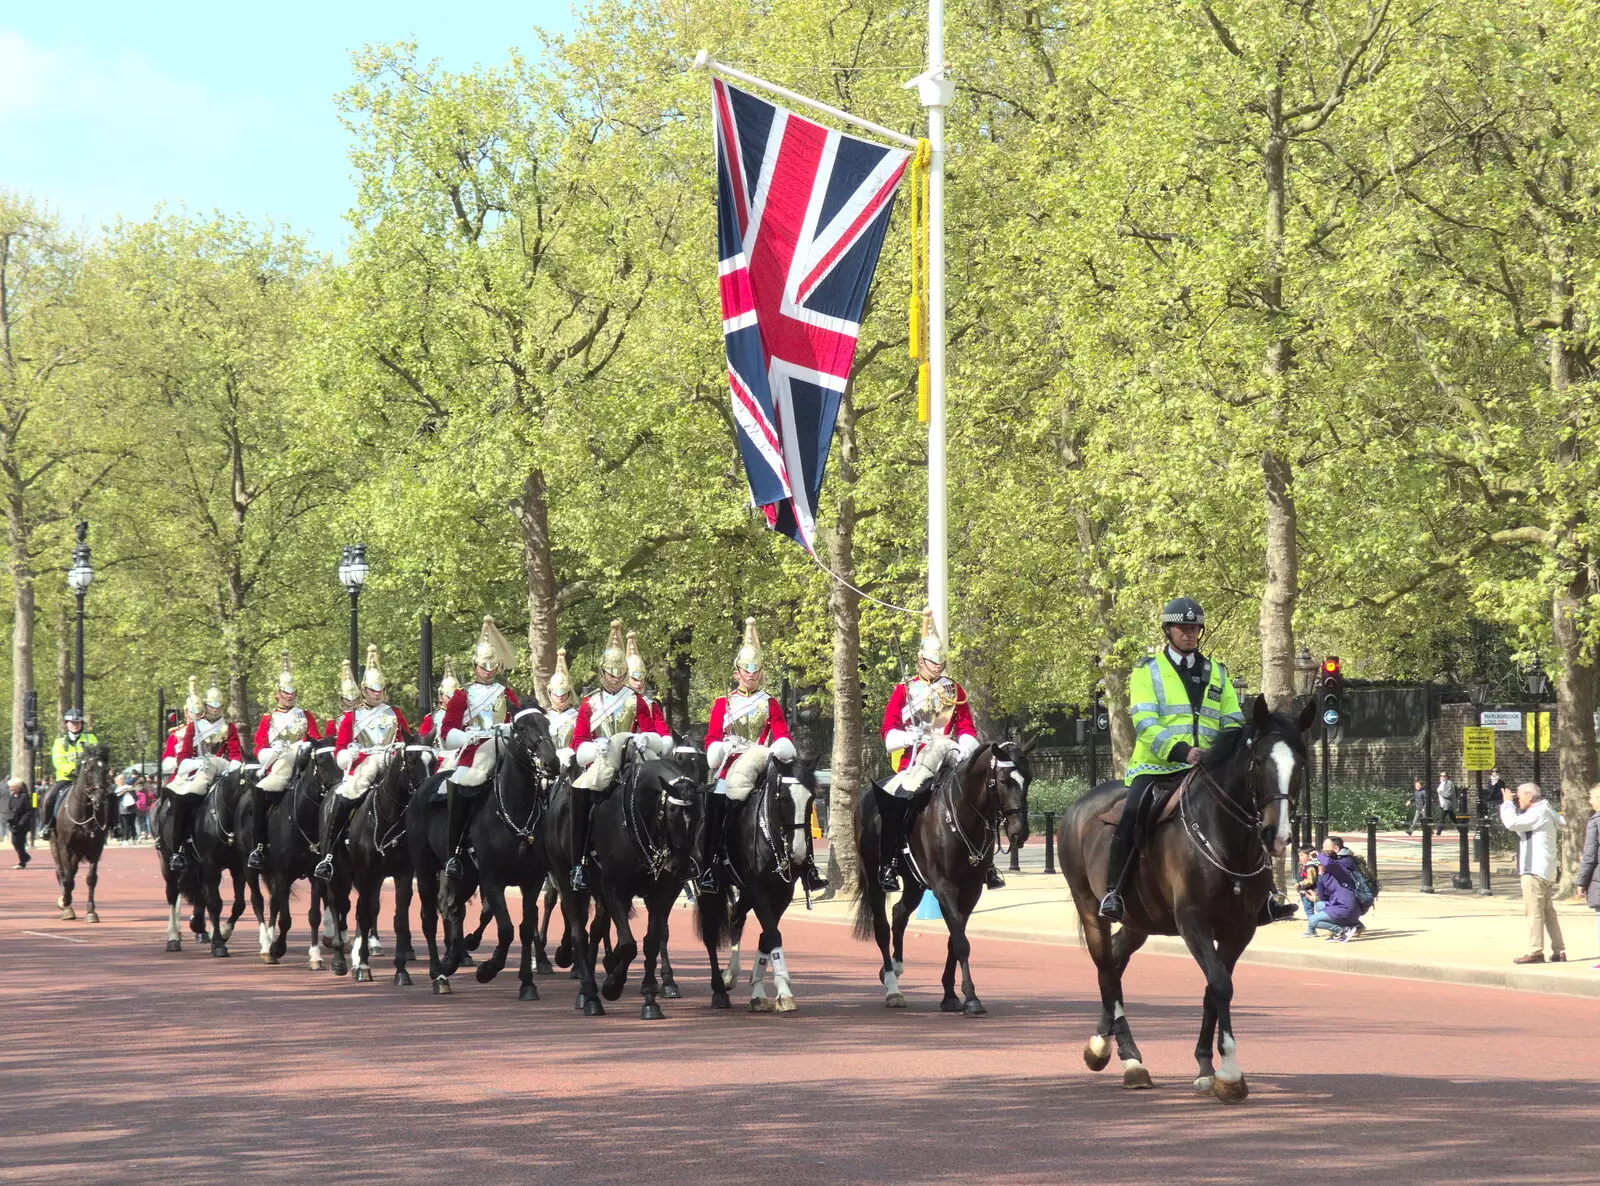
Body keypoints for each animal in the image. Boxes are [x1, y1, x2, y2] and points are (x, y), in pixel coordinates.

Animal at [48, 739, 115, 928]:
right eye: (88, 769)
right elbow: (67, 878)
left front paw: (91, 911)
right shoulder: (65, 846)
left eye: (105, 769)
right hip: (56, 846)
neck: (84, 813)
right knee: (62, 872)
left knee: (72, 871)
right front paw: (67, 907)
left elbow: (91, 878)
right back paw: (64, 901)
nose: (99, 797)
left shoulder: (96, 849)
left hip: (78, 852)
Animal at [244, 745, 339, 966]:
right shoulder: (283, 874)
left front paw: (315, 956)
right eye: (322, 760)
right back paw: (266, 945)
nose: (338, 787)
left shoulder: (315, 876)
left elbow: (314, 915)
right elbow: (285, 918)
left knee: (273, 903)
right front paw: (278, 948)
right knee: (258, 900)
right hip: (250, 870)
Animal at [697, 755, 819, 1011]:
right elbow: (772, 934)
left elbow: (767, 935)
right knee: (710, 934)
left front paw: (759, 991)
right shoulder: (756, 888)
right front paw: (783, 992)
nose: (799, 853)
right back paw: (719, 991)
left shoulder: (783, 891)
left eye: (811, 798)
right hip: (708, 891)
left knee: (736, 917)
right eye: (783, 798)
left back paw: (731, 975)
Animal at [857, 739, 1030, 1011]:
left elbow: (954, 939)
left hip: (914, 883)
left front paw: (950, 995)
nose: (1019, 833)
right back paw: (892, 988)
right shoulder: (944, 887)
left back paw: (895, 969)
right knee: (882, 927)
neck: (960, 815)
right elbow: (960, 942)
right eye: (1004, 781)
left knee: (899, 914)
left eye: (1029, 779)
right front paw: (971, 998)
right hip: (874, 879)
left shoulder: (970, 890)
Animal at [1062, 694, 1312, 1101]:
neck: (1226, 841)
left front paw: (1207, 1067)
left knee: (1115, 961)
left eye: (1301, 762)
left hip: (1139, 921)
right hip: (1090, 906)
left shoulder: (1239, 930)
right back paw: (1129, 1059)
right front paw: (1230, 1072)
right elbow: (1221, 984)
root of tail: (1080, 804)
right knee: (1105, 967)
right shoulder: (1192, 920)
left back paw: (1102, 1043)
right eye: (1259, 761)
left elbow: (1214, 986)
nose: (1278, 835)